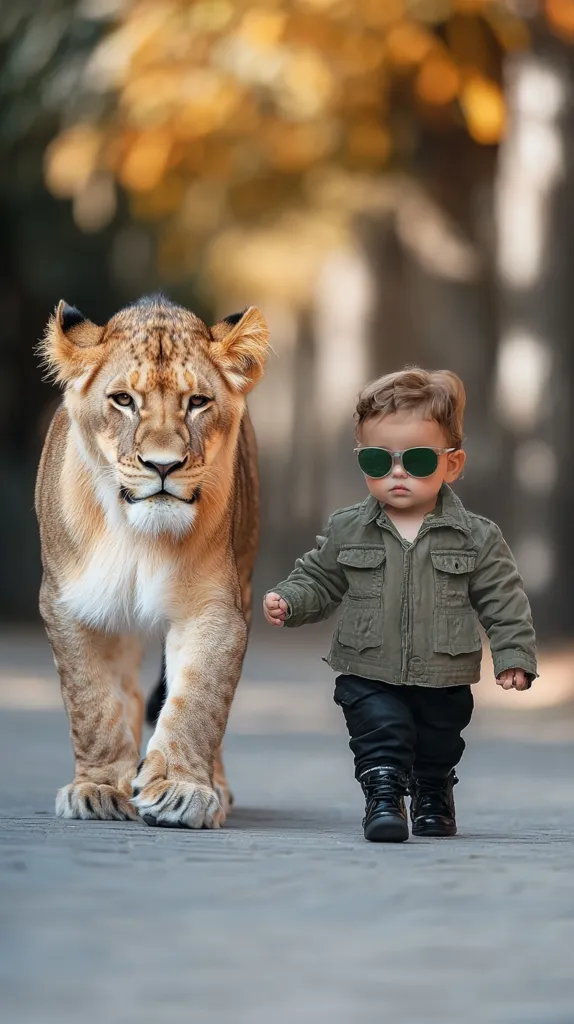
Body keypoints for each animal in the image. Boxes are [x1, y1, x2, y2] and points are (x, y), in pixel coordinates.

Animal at [35, 295, 268, 828]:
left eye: (197, 402)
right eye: (123, 400)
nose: (163, 466)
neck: (140, 536)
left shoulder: (216, 608)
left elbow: (199, 700)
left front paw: (182, 790)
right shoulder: (69, 604)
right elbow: (94, 704)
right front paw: (99, 789)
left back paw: (216, 786)